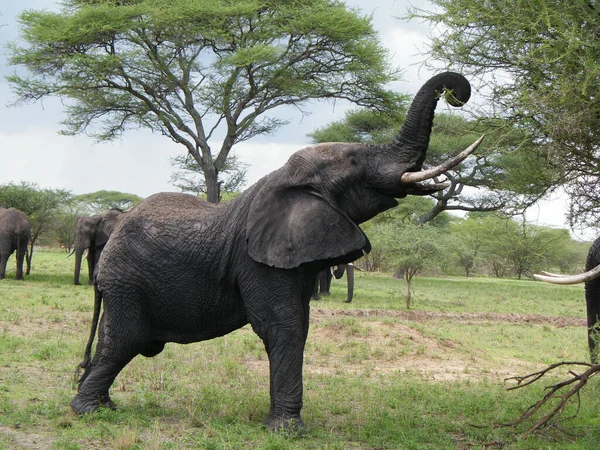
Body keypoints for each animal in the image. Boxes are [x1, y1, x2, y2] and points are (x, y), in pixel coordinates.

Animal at [71, 72, 482, 430]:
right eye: (355, 162)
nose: (457, 93)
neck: (285, 178)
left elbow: (299, 326)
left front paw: (277, 423)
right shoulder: (257, 260)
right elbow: (282, 325)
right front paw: (288, 430)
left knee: (113, 339)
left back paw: (104, 404)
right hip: (128, 281)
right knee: (125, 340)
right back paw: (88, 411)